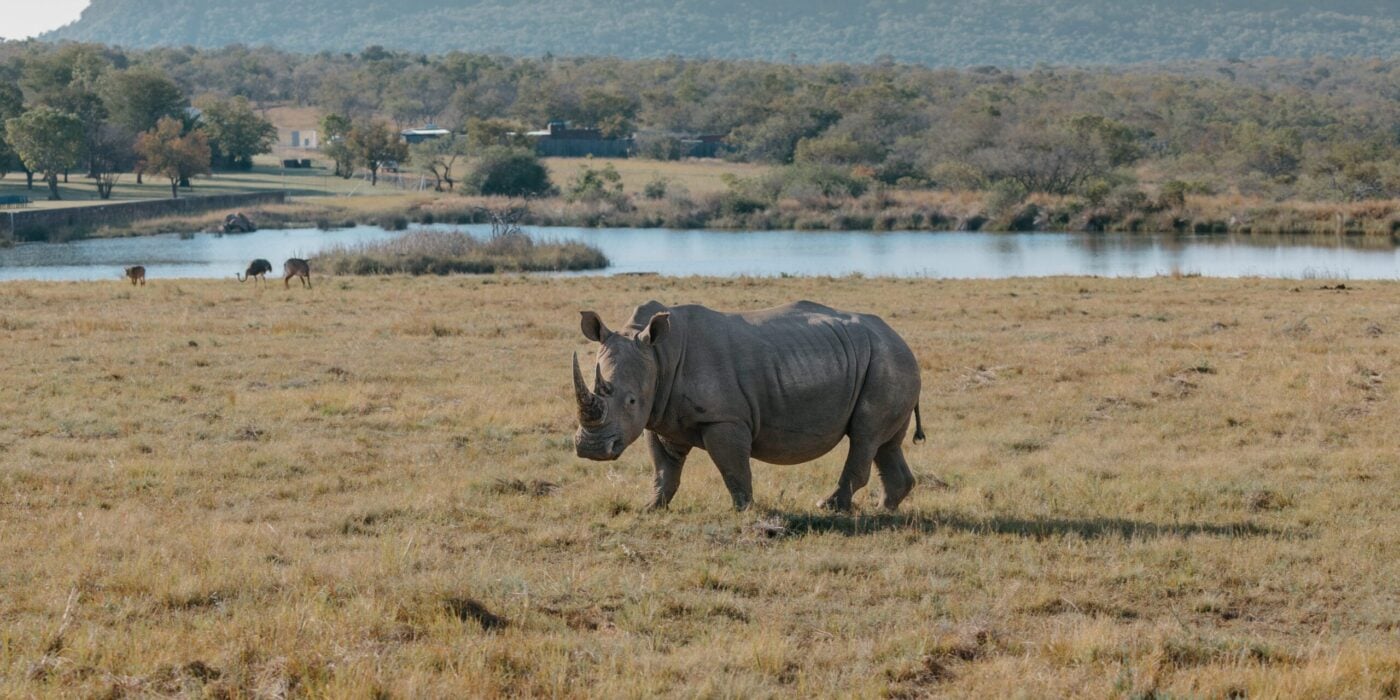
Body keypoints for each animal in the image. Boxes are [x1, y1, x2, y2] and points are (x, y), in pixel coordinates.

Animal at [572, 300, 926, 512]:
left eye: (631, 400)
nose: (591, 449)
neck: (659, 355)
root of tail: (900, 338)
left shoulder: (724, 418)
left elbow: (733, 468)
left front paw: (743, 511)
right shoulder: (659, 417)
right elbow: (664, 468)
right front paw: (651, 508)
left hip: (887, 361)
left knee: (865, 436)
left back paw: (828, 507)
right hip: (886, 362)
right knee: (885, 443)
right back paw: (885, 513)